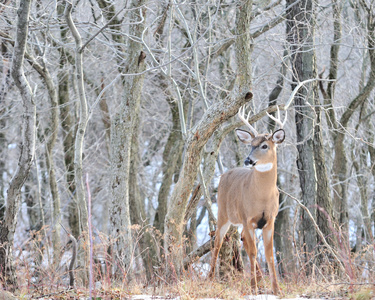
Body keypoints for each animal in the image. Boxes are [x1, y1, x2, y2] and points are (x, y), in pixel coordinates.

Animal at [209, 105, 288, 296]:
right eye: (251, 145)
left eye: (265, 145)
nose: (248, 160)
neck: (262, 197)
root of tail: (225, 174)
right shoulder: (247, 217)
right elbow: (253, 253)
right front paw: (253, 288)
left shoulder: (270, 220)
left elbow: (269, 254)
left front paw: (276, 290)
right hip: (224, 214)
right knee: (217, 242)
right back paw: (210, 278)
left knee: (242, 239)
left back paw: (260, 279)